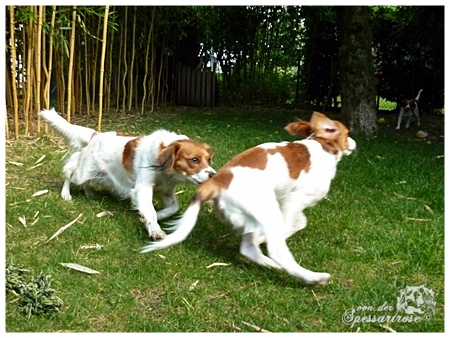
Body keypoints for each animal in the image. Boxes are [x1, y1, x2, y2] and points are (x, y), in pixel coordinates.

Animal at [39, 107, 215, 238]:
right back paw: (66, 194)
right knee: (69, 172)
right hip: (82, 171)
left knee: (85, 181)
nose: (213, 175)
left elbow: (174, 208)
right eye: (194, 160)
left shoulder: (165, 190)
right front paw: (155, 229)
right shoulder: (143, 188)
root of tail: (96, 135)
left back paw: (89, 193)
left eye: (209, 159)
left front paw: (155, 217)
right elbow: (150, 210)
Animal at [141, 112, 356, 284]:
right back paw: (313, 277)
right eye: (347, 133)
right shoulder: (293, 200)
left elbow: (297, 223)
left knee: (247, 247)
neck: (321, 146)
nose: (354, 142)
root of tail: (217, 181)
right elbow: (293, 224)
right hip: (267, 209)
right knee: (275, 250)